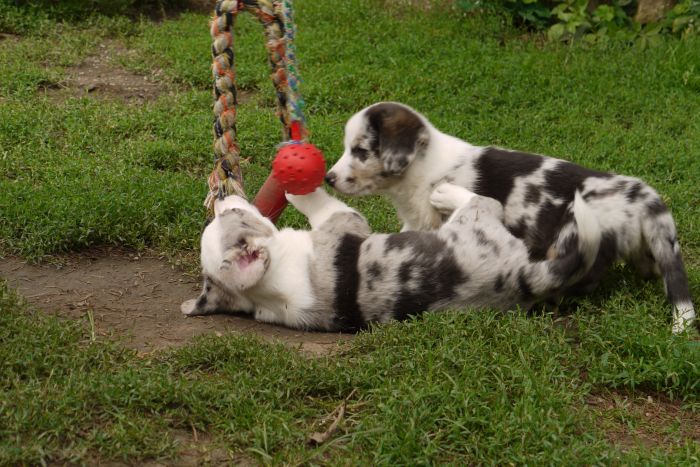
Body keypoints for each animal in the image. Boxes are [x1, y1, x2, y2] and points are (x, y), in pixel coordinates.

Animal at [181, 184, 600, 331]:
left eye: (229, 214)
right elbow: (325, 203)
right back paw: (444, 192)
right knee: (484, 199)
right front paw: (298, 188)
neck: (267, 283)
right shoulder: (346, 221)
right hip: (477, 221)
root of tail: (524, 277)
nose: (221, 196)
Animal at [324, 102, 695, 333]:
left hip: (572, 236)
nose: (328, 178)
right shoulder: (417, 221)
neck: (421, 168)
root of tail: (644, 196)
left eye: (360, 151)